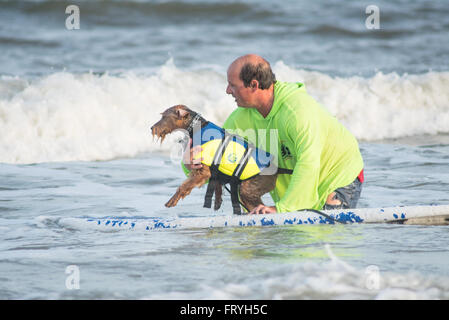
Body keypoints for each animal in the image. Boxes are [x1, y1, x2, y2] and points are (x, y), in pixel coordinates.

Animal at [150, 105, 284, 215]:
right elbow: (217, 187)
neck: (197, 126)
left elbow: (183, 186)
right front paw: (217, 202)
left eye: (164, 117)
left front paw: (171, 201)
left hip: (248, 189)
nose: (152, 128)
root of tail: (278, 170)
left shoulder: (202, 171)